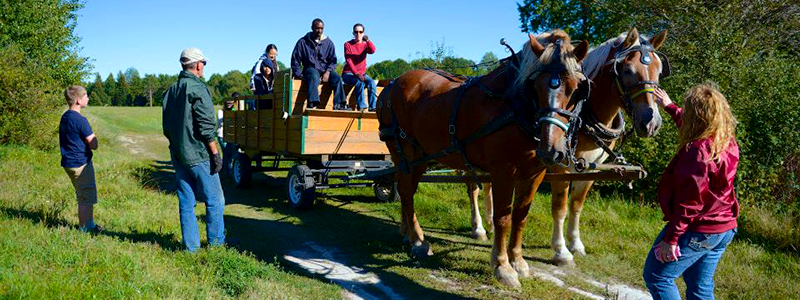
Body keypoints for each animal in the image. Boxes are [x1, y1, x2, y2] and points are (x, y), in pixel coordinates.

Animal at [378, 29, 592, 286]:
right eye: (535, 86)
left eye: (575, 88)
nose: (551, 149)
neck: (515, 106)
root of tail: (392, 83)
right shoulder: (503, 171)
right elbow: (503, 218)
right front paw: (503, 267)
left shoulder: (535, 173)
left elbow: (520, 216)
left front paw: (518, 261)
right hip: (404, 151)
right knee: (407, 192)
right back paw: (418, 241)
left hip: (421, 155)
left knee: (406, 187)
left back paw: (408, 234)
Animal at [462, 29, 668, 266]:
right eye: (627, 70)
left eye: (659, 71)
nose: (651, 122)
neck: (585, 114)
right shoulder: (559, 165)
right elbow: (559, 208)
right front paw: (561, 251)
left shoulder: (591, 167)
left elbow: (576, 205)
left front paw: (576, 243)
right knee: (473, 187)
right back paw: (478, 227)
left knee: (487, 185)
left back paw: (489, 220)